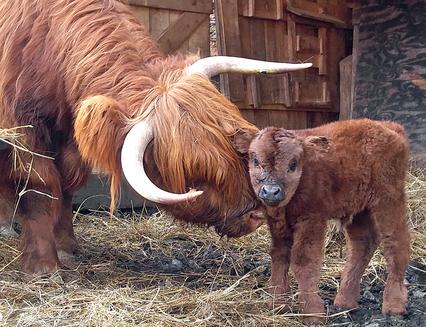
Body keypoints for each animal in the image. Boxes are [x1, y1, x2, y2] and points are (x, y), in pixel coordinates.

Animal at [0, 0, 310, 274]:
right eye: (195, 176)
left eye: (239, 146)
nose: (255, 216)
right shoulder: (21, 132)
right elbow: (39, 186)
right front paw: (43, 265)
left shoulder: (71, 142)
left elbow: (66, 185)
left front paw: (67, 248)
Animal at [235, 120, 412, 322]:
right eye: (255, 160)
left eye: (293, 164)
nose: (271, 191)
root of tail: (389, 127)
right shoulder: (277, 223)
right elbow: (279, 255)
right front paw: (277, 304)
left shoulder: (311, 220)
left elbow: (304, 262)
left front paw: (313, 313)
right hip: (360, 209)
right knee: (363, 243)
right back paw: (345, 301)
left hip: (389, 199)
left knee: (396, 243)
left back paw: (394, 306)